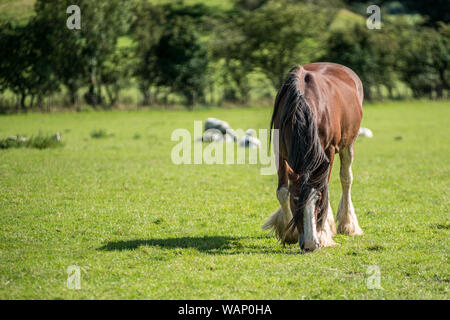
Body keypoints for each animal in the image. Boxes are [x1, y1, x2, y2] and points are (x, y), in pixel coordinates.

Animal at [262, 63, 364, 252]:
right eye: (295, 201)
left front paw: (323, 234)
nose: (310, 245)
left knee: (346, 179)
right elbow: (282, 192)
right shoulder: (280, 152)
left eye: (318, 202)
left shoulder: (329, 150)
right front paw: (289, 233)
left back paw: (347, 224)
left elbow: (325, 188)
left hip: (349, 143)